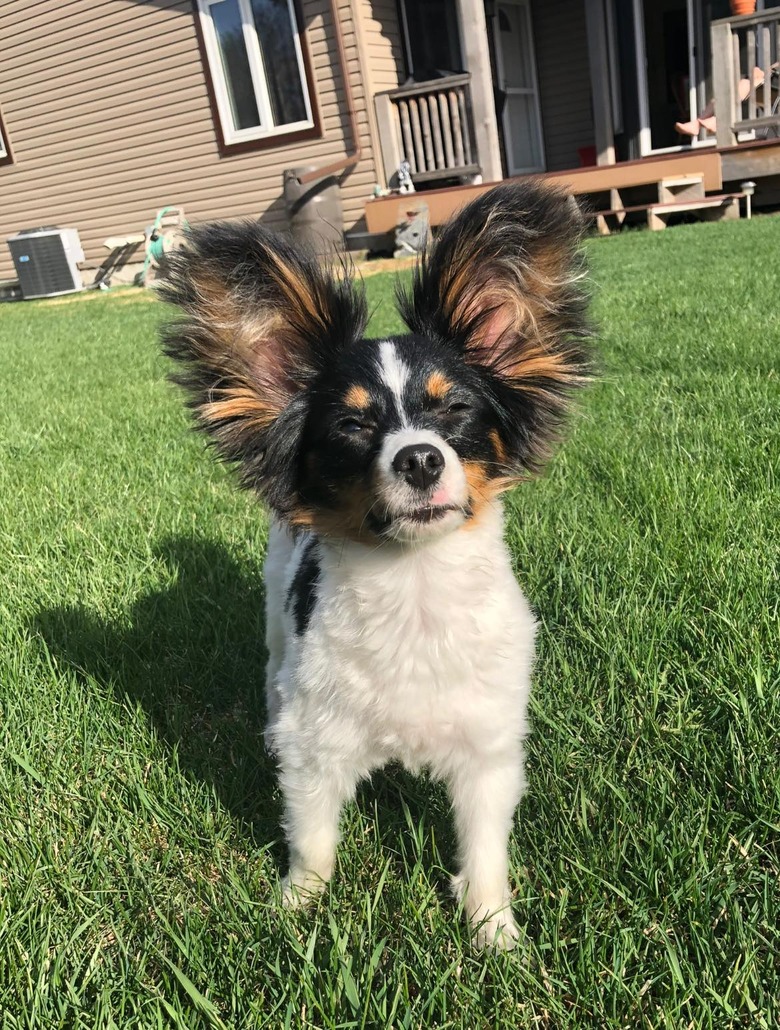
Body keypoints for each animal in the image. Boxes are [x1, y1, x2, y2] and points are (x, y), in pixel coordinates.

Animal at [162, 183, 589, 947]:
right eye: (352, 426)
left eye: (455, 410)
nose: (419, 458)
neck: (414, 588)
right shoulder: (316, 747)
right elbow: (313, 837)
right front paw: (297, 909)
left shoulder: (488, 750)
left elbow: (485, 846)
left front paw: (493, 931)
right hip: (278, 618)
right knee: (273, 666)